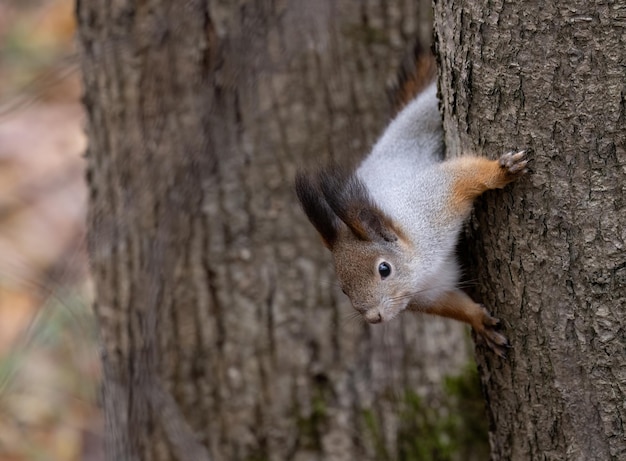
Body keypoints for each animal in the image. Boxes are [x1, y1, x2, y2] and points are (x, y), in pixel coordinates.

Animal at [294, 42, 528, 356]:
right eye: (343, 288)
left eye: (384, 269)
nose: (374, 317)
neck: (420, 268)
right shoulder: (430, 292)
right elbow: (454, 305)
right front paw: (480, 322)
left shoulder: (431, 204)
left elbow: (463, 176)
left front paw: (501, 171)